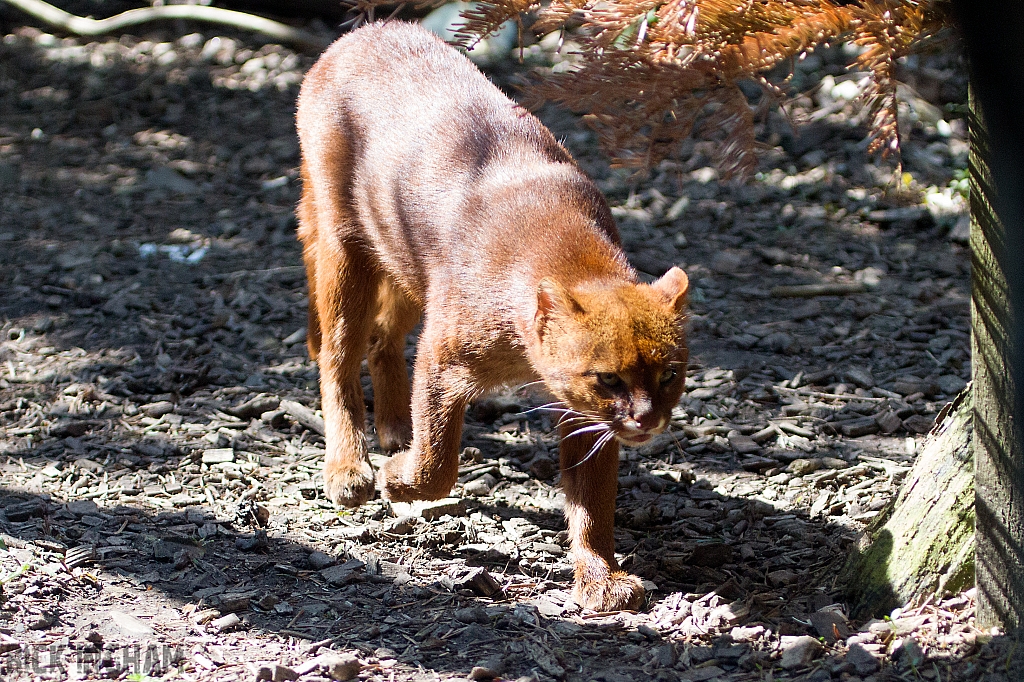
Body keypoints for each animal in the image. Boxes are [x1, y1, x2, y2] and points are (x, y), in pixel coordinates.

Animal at [299, 21, 692, 606]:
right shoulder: (445, 358)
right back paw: (350, 468)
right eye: (608, 378)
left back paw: (394, 427)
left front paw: (600, 577)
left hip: (404, 263)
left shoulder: (577, 411)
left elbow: (593, 499)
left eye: (669, 374)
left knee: (382, 339)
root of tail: (367, 30)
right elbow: (439, 462)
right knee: (337, 351)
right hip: (345, 244)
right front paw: (397, 478)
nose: (646, 419)